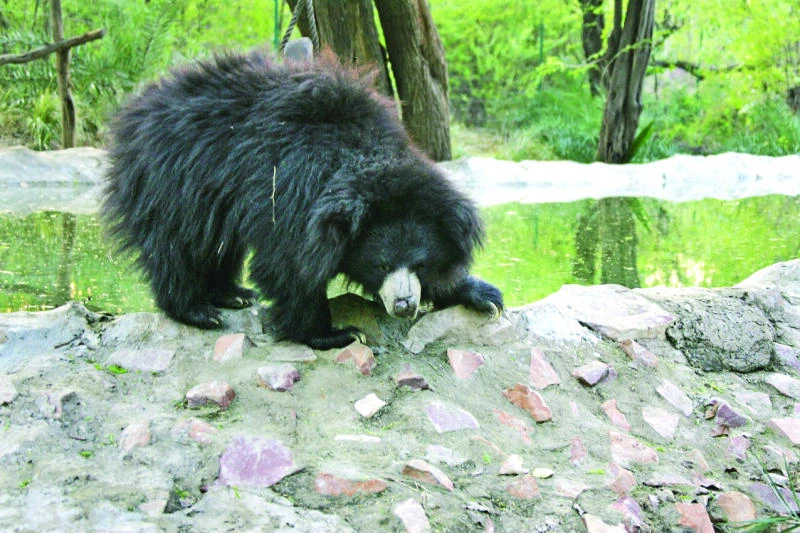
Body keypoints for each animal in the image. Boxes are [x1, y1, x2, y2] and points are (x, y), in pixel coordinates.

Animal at [103, 50, 503, 350]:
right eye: (382, 265)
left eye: (420, 264)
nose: (405, 306)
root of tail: (142, 105)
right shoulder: (291, 188)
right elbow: (290, 263)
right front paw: (333, 333)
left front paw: (479, 294)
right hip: (176, 179)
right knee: (181, 243)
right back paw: (196, 310)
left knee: (218, 243)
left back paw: (232, 294)